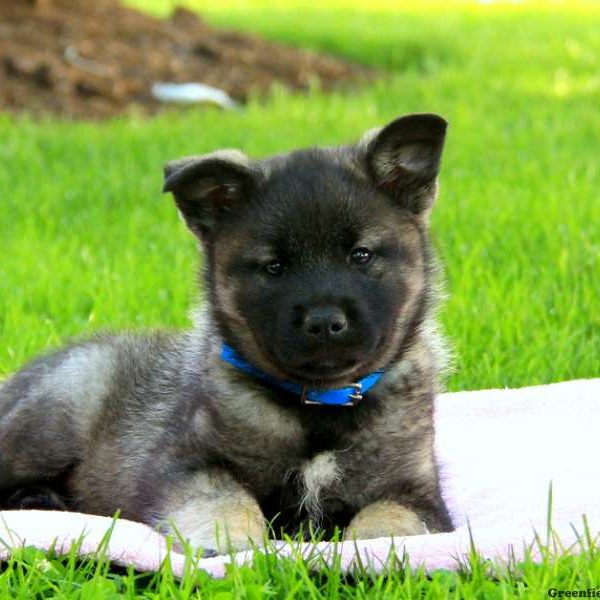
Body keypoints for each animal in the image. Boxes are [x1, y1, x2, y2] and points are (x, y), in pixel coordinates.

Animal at [0, 112, 452, 552]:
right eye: (274, 267)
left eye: (361, 255)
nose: (324, 322)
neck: (319, 405)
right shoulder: (188, 465)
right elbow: (228, 498)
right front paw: (231, 541)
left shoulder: (417, 495)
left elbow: (389, 517)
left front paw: (377, 550)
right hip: (59, 411)